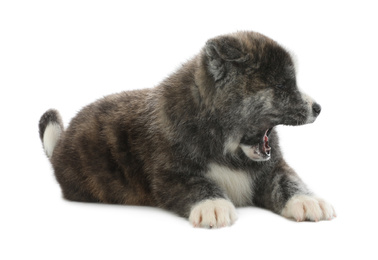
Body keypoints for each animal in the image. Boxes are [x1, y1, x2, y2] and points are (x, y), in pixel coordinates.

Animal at [39, 31, 334, 229]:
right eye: (282, 86)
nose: (318, 108)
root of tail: (59, 144)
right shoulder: (170, 175)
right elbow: (197, 184)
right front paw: (213, 205)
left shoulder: (271, 168)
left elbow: (288, 180)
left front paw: (308, 200)